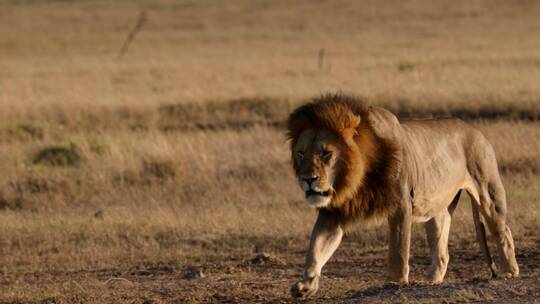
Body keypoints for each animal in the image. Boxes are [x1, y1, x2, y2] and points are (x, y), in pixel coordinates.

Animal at [286, 94, 520, 298]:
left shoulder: (400, 205)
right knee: (442, 251)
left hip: (487, 191)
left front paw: (396, 282)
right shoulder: (333, 213)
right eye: (301, 153)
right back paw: (430, 282)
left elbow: (398, 250)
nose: (308, 179)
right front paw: (306, 285)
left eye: (326, 153)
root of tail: (475, 130)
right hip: (437, 208)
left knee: (503, 231)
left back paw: (510, 272)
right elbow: (315, 248)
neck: (355, 180)